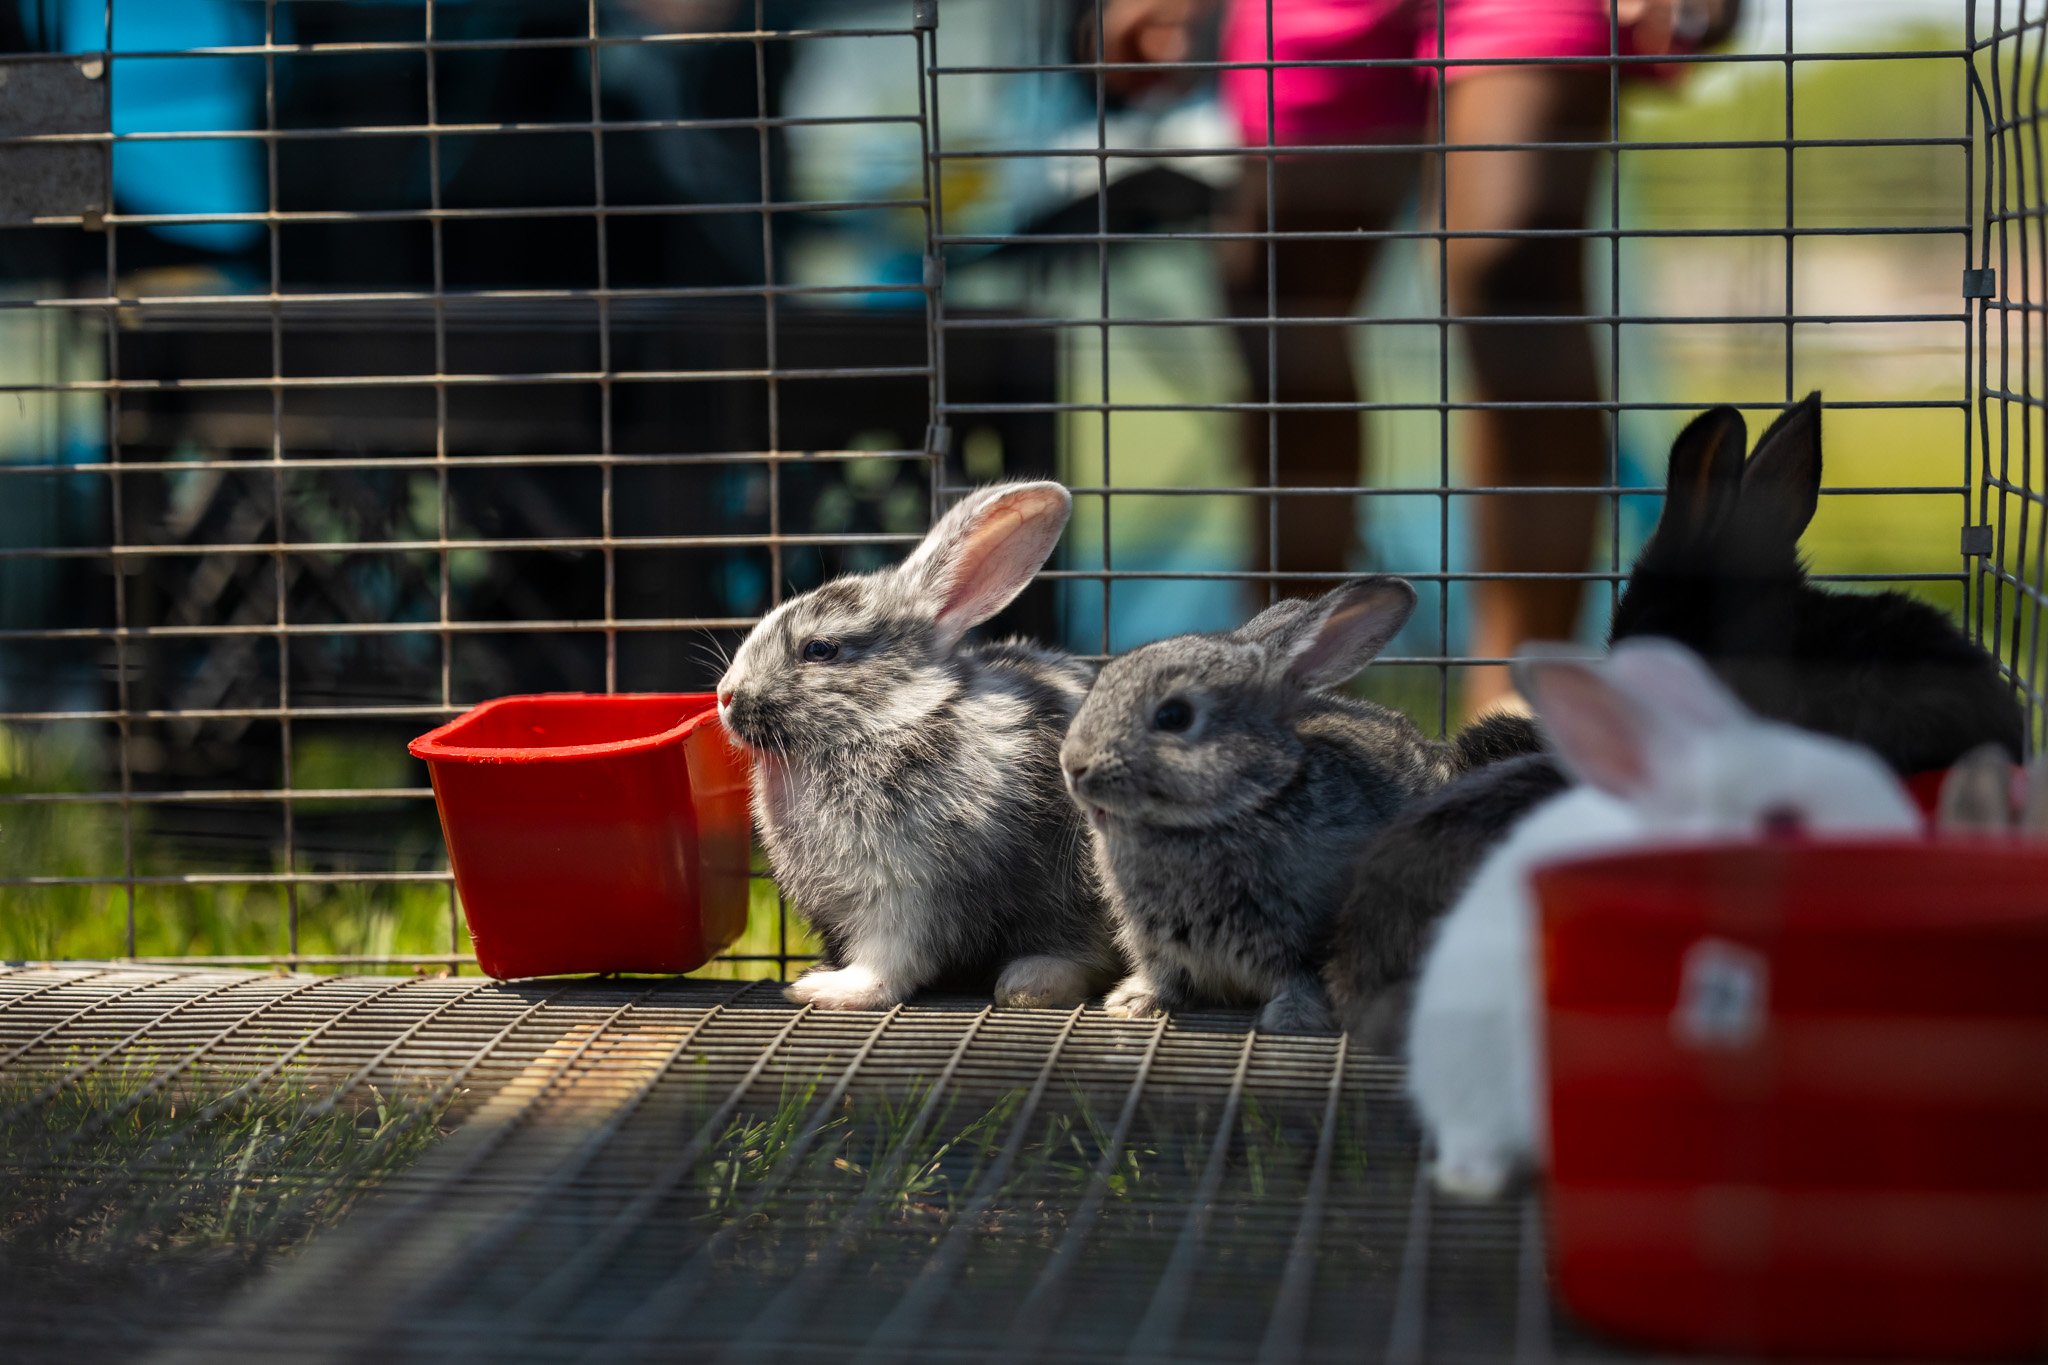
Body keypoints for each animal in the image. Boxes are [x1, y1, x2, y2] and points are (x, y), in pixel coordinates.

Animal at [716, 481, 1121, 1012]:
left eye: (820, 650)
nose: (724, 695)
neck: (886, 722)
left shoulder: (910, 892)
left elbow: (889, 961)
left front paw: (829, 990)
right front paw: (821, 974)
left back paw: (1030, 983)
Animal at [1059, 578, 1452, 1034]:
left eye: (1174, 716)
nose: (1073, 766)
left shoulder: (1317, 933)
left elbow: (1308, 978)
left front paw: (1291, 1018)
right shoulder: (1156, 944)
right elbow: (1165, 976)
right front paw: (1133, 1002)